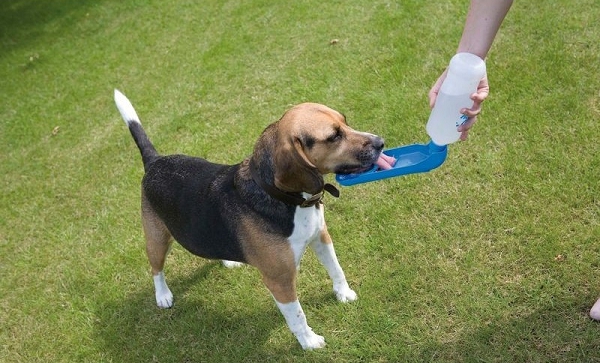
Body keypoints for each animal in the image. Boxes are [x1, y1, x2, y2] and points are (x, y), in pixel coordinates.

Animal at [112, 90, 384, 350]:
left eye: (345, 122)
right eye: (333, 137)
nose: (381, 142)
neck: (283, 197)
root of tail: (155, 161)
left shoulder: (321, 237)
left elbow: (336, 269)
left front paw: (344, 294)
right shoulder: (279, 280)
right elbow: (297, 316)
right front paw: (309, 342)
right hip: (157, 239)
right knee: (156, 268)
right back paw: (163, 295)